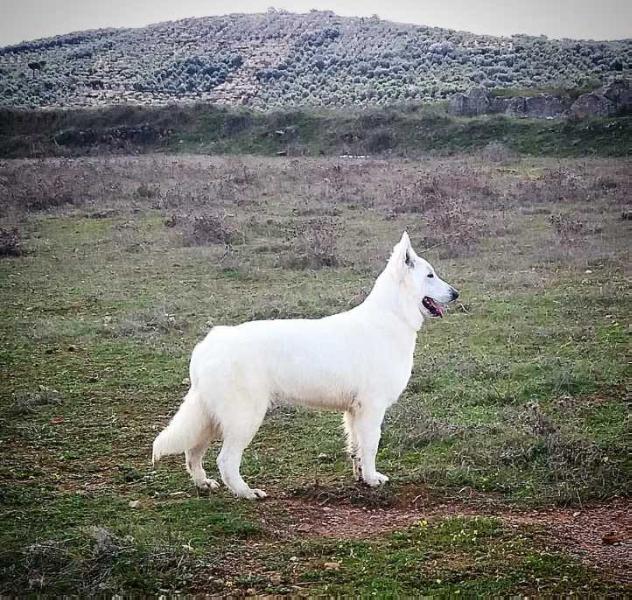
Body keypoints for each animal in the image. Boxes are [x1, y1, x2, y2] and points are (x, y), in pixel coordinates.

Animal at [153, 232, 460, 500]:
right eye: (430, 275)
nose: (456, 293)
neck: (393, 316)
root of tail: (207, 345)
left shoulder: (354, 412)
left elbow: (357, 449)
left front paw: (361, 477)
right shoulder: (371, 408)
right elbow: (371, 445)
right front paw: (373, 479)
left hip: (210, 417)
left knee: (192, 453)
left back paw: (203, 483)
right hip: (244, 418)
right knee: (225, 460)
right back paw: (247, 493)